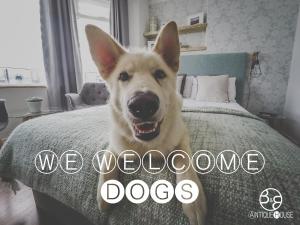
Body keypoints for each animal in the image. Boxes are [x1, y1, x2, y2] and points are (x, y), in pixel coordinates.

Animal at [84, 21, 206, 225]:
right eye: (123, 76)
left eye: (160, 73)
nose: (143, 104)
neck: (145, 147)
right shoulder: (114, 144)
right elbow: (107, 161)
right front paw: (107, 191)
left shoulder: (182, 137)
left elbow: (183, 160)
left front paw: (193, 198)